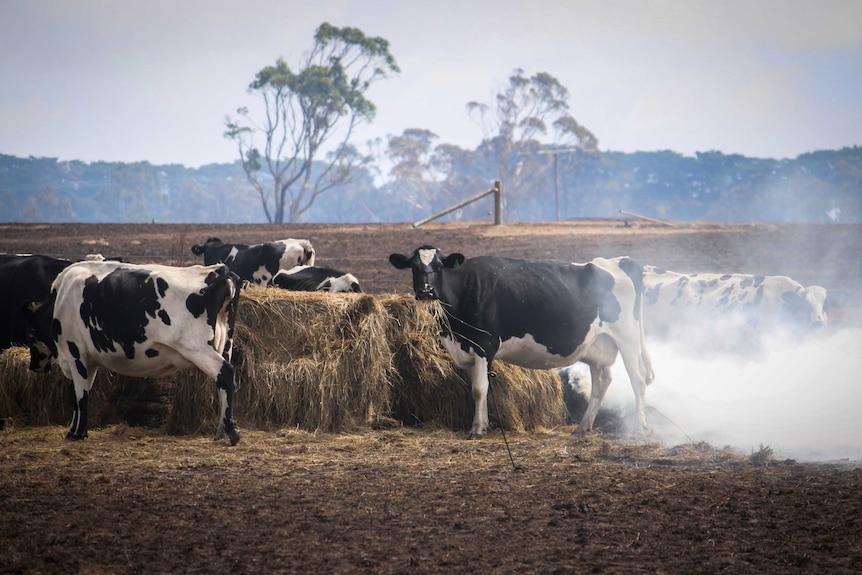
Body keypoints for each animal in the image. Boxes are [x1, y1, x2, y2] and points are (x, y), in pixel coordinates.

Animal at [22, 260, 243, 446]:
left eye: (31, 334)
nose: (33, 365)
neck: (60, 299)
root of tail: (218, 270)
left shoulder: (75, 352)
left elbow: (79, 394)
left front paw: (77, 433)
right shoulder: (89, 361)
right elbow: (84, 392)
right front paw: (73, 430)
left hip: (197, 348)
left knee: (225, 373)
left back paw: (232, 432)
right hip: (225, 344)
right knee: (223, 384)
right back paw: (221, 431)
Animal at [392, 245, 656, 438]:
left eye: (438, 267)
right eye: (414, 267)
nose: (426, 291)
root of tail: (620, 261)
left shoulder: (485, 345)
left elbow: (479, 389)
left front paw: (477, 429)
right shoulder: (465, 351)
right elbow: (477, 389)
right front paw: (483, 424)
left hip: (627, 338)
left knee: (637, 380)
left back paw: (640, 428)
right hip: (597, 347)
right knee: (602, 383)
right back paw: (583, 427)